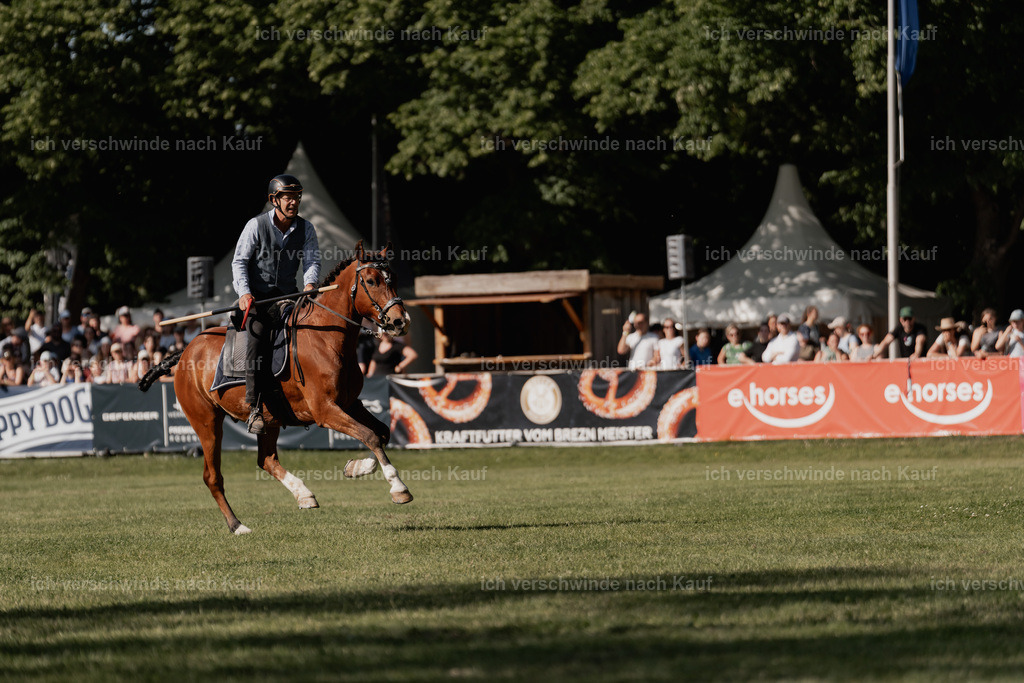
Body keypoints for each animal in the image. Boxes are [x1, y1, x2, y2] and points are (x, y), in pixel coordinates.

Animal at [139, 242, 413, 534]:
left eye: (394, 278)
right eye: (371, 281)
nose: (400, 321)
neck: (326, 337)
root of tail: (186, 351)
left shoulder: (350, 404)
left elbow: (381, 433)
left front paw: (356, 466)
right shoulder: (325, 410)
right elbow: (370, 436)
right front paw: (398, 487)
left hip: (268, 419)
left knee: (266, 459)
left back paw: (303, 494)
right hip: (206, 422)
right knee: (212, 476)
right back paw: (237, 525)